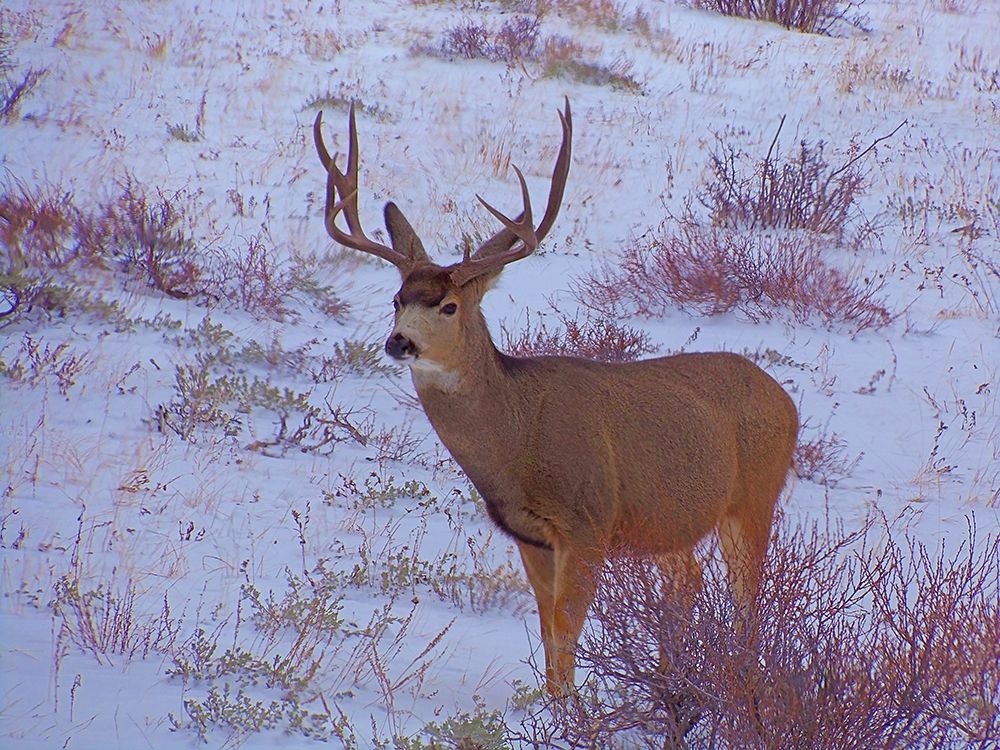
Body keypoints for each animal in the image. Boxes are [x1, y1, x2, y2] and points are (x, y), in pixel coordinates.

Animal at [313, 99, 799, 696]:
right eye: (397, 298)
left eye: (449, 305)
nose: (399, 341)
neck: (518, 437)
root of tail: (786, 400)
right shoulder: (530, 536)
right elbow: (549, 644)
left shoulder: (587, 523)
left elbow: (566, 642)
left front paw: (573, 712)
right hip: (668, 520)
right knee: (690, 580)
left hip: (753, 497)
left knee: (747, 602)